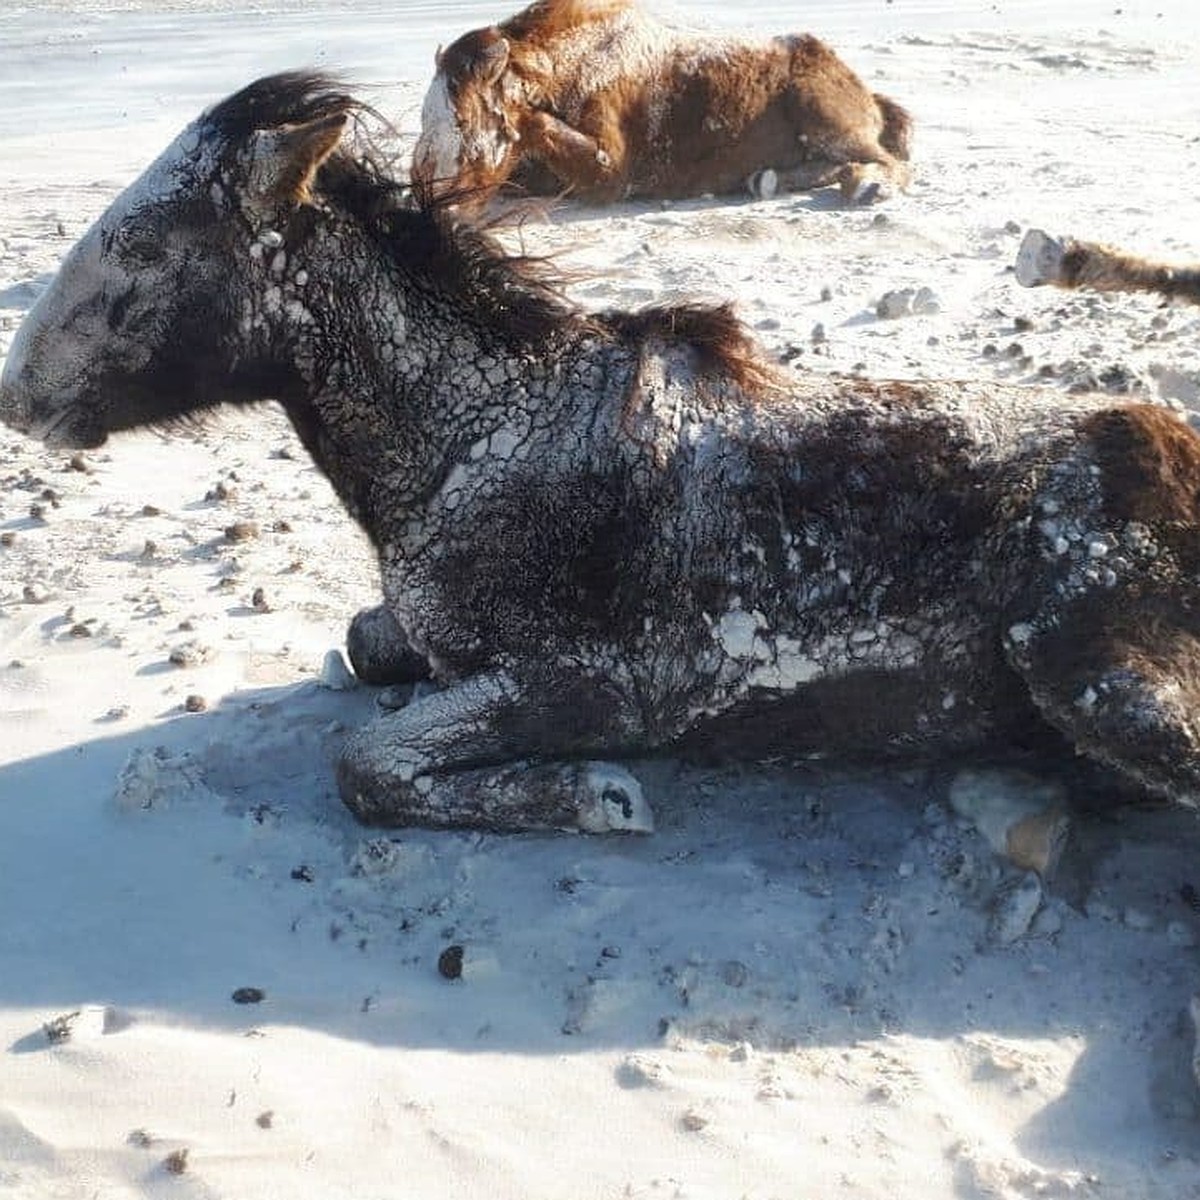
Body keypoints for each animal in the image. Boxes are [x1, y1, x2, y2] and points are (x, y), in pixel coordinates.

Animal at [2, 72, 1200, 835]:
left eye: (142, 240)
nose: (17, 394)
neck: (463, 436)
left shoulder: (587, 685)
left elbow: (365, 763)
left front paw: (596, 799)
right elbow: (364, 645)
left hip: (1089, 671)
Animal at [412, 0, 907, 205]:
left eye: (466, 118)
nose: (433, 199)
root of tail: (864, 90)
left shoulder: (610, 173)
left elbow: (537, 125)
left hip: (823, 115)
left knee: (889, 162)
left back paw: (867, 188)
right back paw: (763, 180)